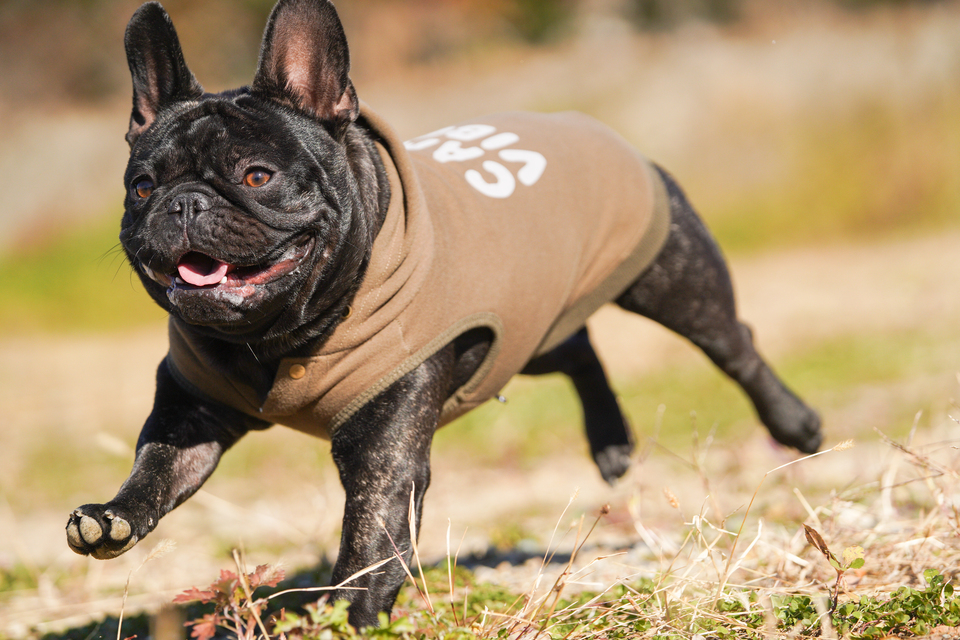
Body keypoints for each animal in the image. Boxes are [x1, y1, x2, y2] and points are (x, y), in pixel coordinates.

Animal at [67, 0, 820, 628]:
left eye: (257, 176)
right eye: (142, 187)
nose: (183, 203)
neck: (278, 339)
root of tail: (578, 120)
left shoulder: (385, 453)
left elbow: (369, 540)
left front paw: (348, 617)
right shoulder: (192, 411)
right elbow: (159, 465)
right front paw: (112, 516)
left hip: (675, 280)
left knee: (734, 344)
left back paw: (796, 425)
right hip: (523, 331)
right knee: (577, 347)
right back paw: (612, 444)